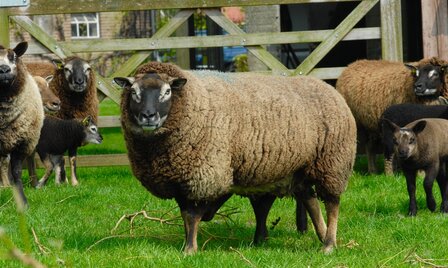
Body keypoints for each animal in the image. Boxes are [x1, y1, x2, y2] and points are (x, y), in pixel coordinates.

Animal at [114, 61, 356, 254]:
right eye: (134, 92)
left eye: (166, 92)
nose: (148, 116)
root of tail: (327, 86)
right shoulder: (180, 180)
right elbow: (184, 215)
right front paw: (186, 244)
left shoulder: (203, 176)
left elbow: (192, 216)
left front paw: (190, 250)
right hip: (297, 169)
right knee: (308, 200)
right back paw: (308, 237)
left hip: (333, 163)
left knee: (332, 204)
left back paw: (328, 244)